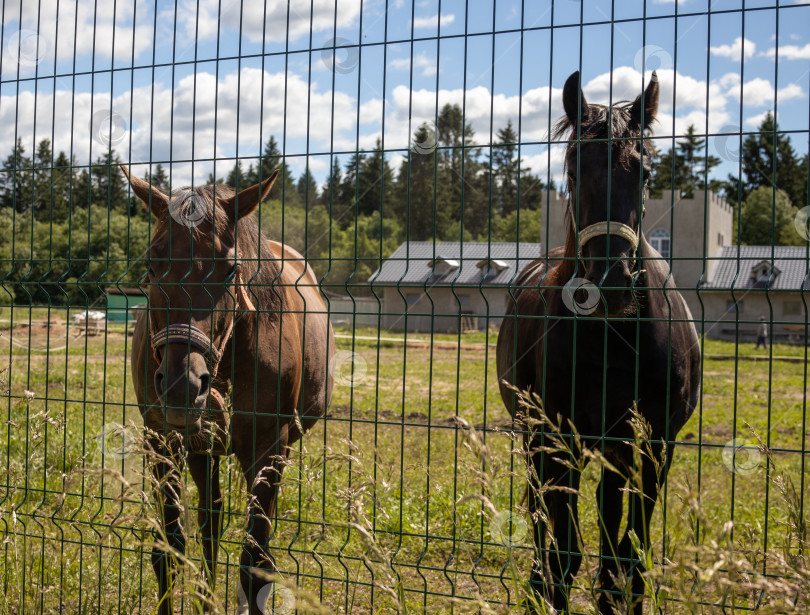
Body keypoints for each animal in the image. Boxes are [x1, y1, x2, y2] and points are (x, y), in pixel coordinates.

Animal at [124, 166, 332, 612]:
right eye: (151, 262)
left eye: (232, 270)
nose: (183, 387)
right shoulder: (161, 438)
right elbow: (170, 550)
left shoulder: (269, 447)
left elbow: (254, 562)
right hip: (203, 449)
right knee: (211, 521)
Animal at [496, 73, 696, 615]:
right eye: (572, 167)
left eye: (644, 173)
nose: (609, 283)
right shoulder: (559, 437)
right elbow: (566, 550)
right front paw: (551, 591)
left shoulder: (652, 445)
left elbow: (630, 552)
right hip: (538, 438)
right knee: (543, 519)